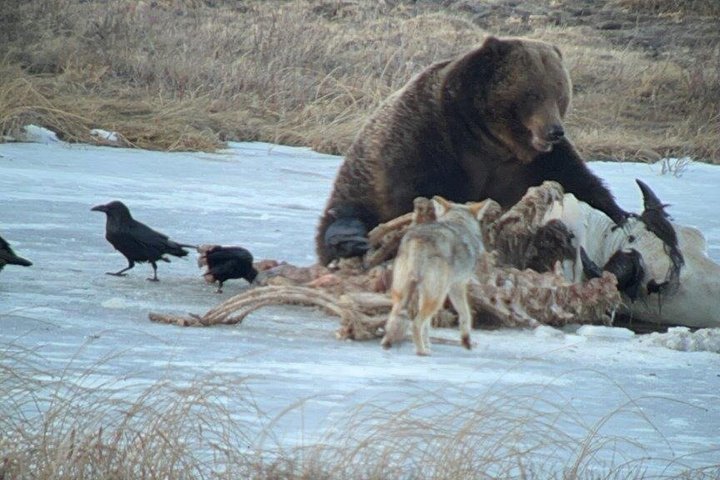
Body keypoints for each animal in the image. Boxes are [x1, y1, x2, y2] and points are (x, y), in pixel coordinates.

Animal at [380, 196, 490, 356]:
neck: (459, 222)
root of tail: (419, 239)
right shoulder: (457, 286)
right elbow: (466, 314)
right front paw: (466, 342)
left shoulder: (424, 292)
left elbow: (428, 326)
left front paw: (428, 344)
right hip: (437, 298)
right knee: (415, 323)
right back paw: (421, 352)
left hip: (402, 296)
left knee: (393, 320)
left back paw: (388, 343)